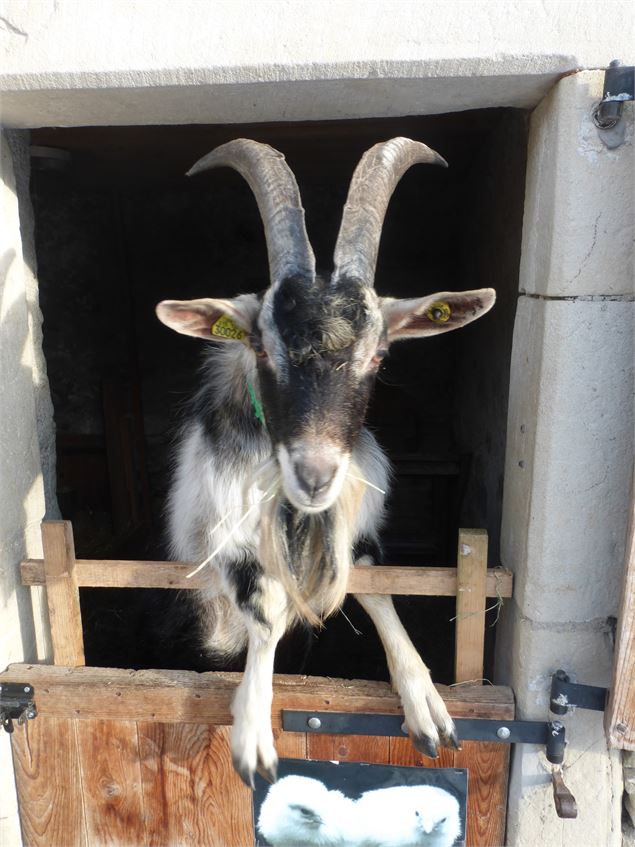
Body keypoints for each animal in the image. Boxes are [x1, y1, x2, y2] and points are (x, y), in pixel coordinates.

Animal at [155, 136, 496, 792]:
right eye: (263, 348)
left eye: (381, 354)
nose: (314, 477)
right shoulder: (221, 544)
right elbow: (267, 611)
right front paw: (254, 740)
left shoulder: (356, 529)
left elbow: (378, 588)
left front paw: (428, 707)